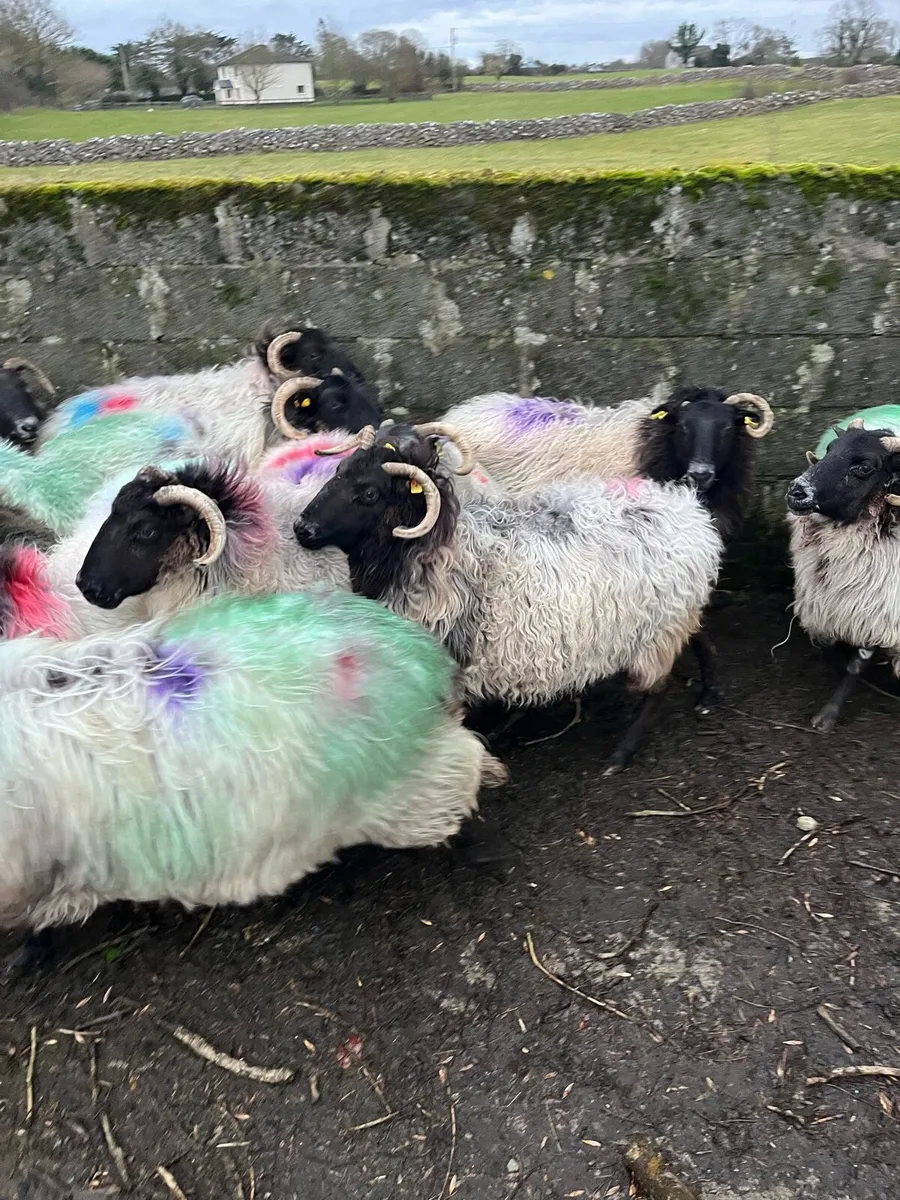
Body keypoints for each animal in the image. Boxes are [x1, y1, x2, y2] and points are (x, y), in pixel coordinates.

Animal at [295, 423, 723, 773]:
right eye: (339, 471)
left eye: (369, 493)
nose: (303, 528)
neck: (430, 553)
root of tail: (688, 510)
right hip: (676, 612)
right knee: (699, 634)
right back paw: (708, 693)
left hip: (657, 631)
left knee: (658, 688)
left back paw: (621, 754)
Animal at [787, 415, 900, 732]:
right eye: (830, 449)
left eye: (864, 467)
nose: (797, 490)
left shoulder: (881, 606)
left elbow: (858, 662)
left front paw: (827, 716)